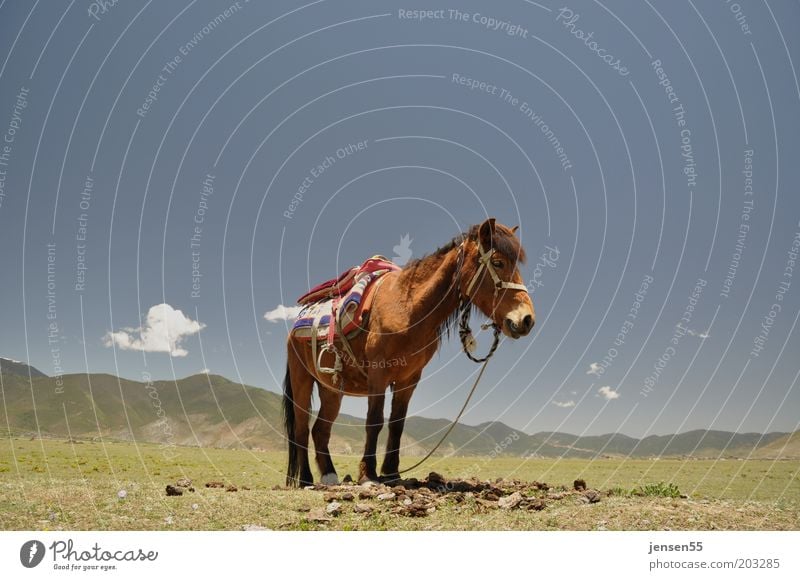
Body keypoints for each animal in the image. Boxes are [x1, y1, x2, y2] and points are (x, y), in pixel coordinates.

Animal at [284, 218, 536, 484]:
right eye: (498, 262)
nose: (526, 319)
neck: (407, 307)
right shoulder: (378, 375)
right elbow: (374, 421)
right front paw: (368, 474)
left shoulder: (408, 379)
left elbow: (397, 424)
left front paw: (391, 472)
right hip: (302, 381)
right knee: (301, 429)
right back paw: (306, 480)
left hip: (331, 389)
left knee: (320, 430)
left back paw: (329, 475)